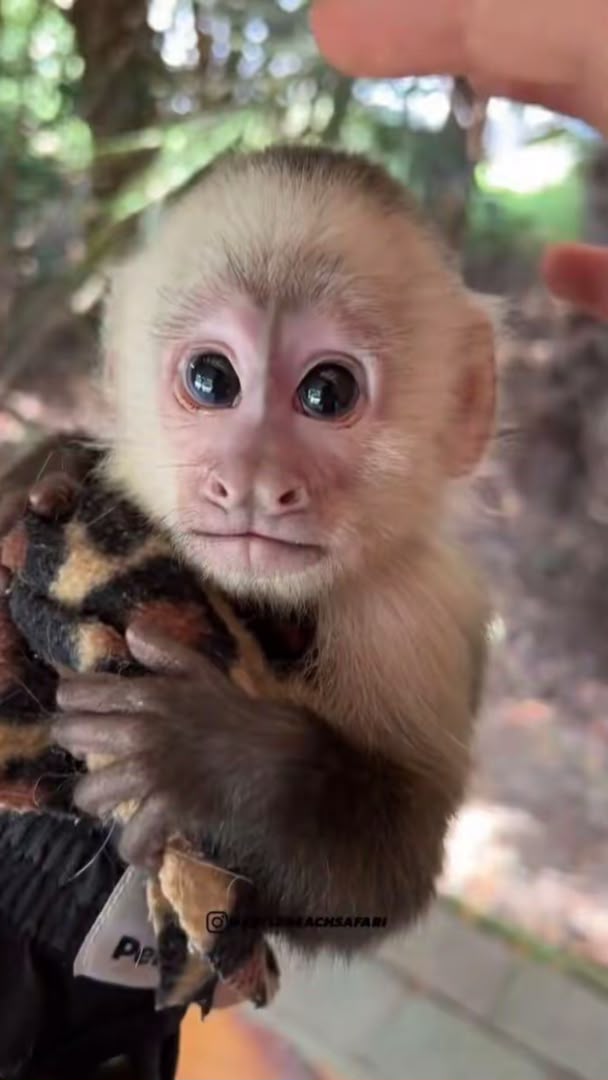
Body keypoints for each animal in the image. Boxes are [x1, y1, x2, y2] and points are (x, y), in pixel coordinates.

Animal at [11, 145, 496, 963]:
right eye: (212, 379)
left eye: (327, 391)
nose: (253, 482)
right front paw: (43, 478)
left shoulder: (420, 611)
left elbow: (389, 873)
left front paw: (206, 760)